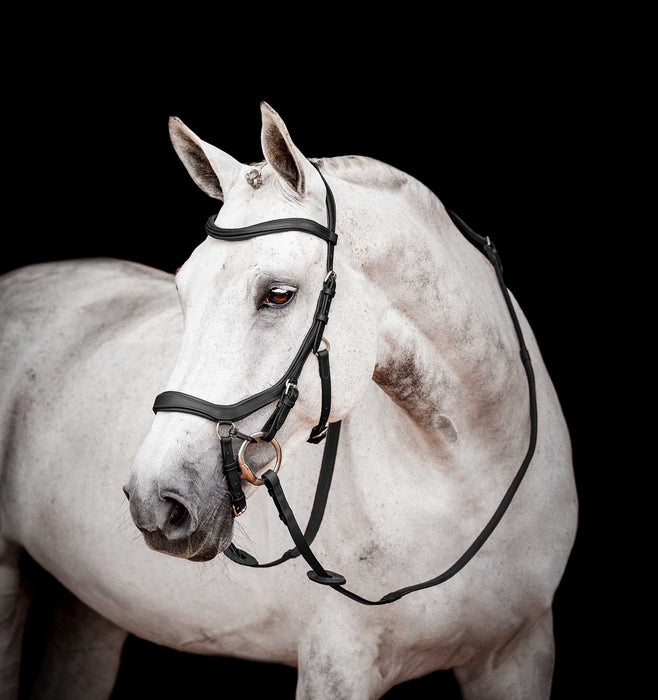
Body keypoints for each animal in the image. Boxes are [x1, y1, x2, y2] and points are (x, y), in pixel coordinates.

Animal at [0, 102, 577, 699]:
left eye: (278, 295)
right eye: (183, 289)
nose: (156, 501)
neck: (464, 478)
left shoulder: (520, 652)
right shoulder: (337, 665)